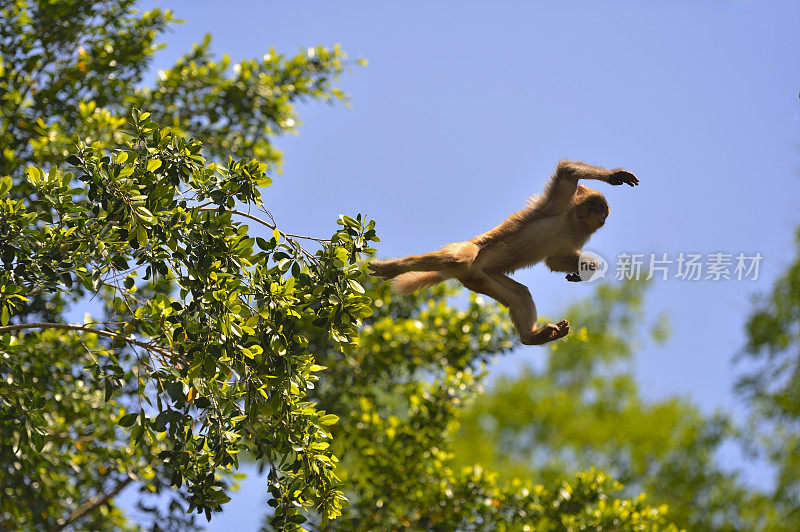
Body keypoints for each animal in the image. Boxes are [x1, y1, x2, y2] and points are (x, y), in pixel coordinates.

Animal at [368, 159, 636, 344]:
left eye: (603, 212)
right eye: (597, 207)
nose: (602, 217)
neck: (572, 221)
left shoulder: (577, 234)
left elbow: (555, 260)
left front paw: (586, 269)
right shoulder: (559, 203)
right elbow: (568, 171)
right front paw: (615, 175)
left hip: (480, 278)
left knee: (520, 296)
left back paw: (532, 337)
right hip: (472, 257)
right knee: (459, 255)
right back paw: (394, 267)